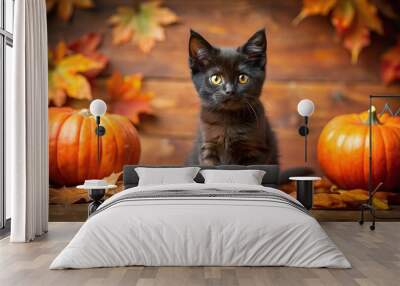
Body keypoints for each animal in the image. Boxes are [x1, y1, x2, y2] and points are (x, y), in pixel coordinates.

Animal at [187, 29, 278, 165]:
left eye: (243, 78)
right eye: (216, 78)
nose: (230, 91)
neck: (228, 120)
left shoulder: (255, 150)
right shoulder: (207, 147)